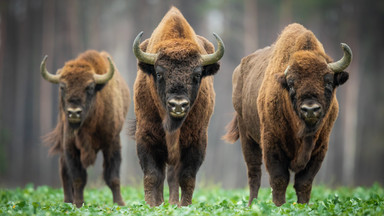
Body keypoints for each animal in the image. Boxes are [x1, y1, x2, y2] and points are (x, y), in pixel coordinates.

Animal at [40, 50, 130, 208]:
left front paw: (119, 204)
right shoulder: (70, 146)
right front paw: (78, 204)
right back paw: (68, 201)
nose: (74, 112)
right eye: (62, 87)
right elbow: (78, 178)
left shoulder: (112, 143)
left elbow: (113, 177)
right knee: (64, 172)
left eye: (90, 87)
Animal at [130, 6, 224, 206]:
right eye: (159, 73)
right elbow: (152, 176)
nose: (178, 105)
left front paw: (184, 206)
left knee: (173, 177)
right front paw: (151, 205)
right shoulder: (146, 138)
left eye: (197, 75)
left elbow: (186, 177)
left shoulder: (196, 142)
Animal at [224, 23, 352, 206]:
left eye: (328, 81)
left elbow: (304, 182)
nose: (310, 109)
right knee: (254, 174)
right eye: (291, 84)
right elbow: (279, 179)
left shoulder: (320, 148)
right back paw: (251, 205)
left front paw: (303, 206)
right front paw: (279, 206)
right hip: (247, 136)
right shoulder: (272, 144)